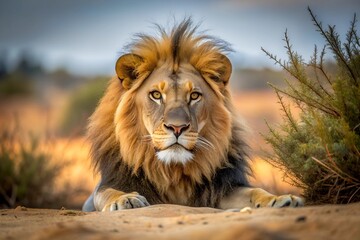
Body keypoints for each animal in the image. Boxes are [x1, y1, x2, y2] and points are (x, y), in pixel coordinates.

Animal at [82, 18, 304, 212]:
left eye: (195, 96)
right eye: (156, 95)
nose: (177, 128)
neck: (173, 171)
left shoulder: (223, 187)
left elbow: (254, 191)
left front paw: (280, 199)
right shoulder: (107, 185)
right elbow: (106, 192)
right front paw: (125, 199)